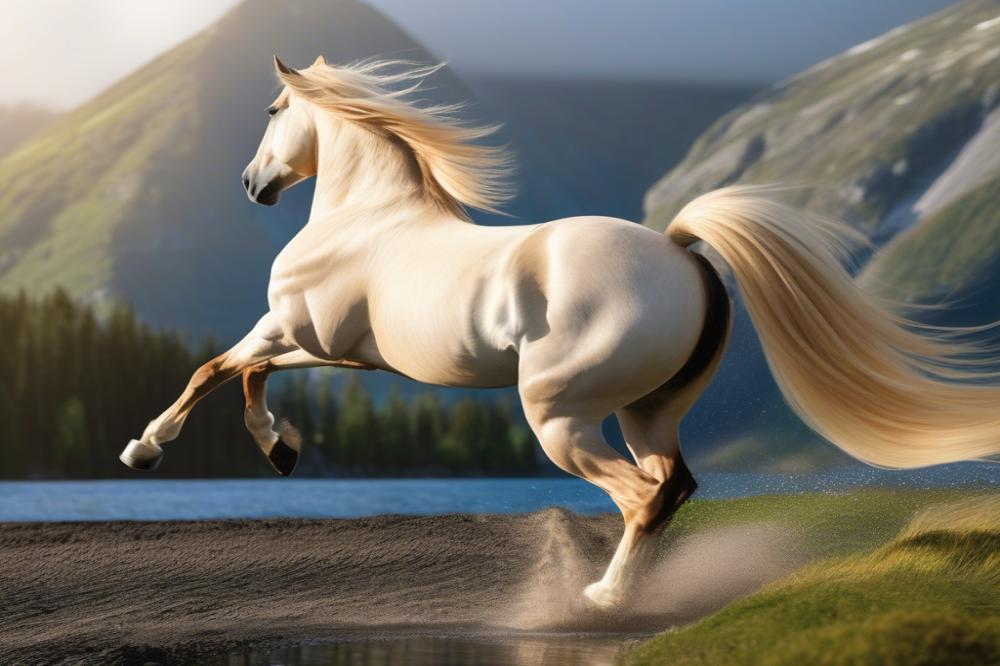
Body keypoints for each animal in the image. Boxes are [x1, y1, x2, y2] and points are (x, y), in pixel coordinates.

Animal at [121, 55, 1000, 608]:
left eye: (274, 111)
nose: (252, 184)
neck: (366, 219)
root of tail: (682, 255)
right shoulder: (338, 354)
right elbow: (247, 375)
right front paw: (282, 450)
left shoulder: (295, 329)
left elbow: (215, 369)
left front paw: (146, 448)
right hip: (647, 411)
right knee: (674, 486)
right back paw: (632, 588)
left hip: (559, 416)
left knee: (643, 495)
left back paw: (605, 598)